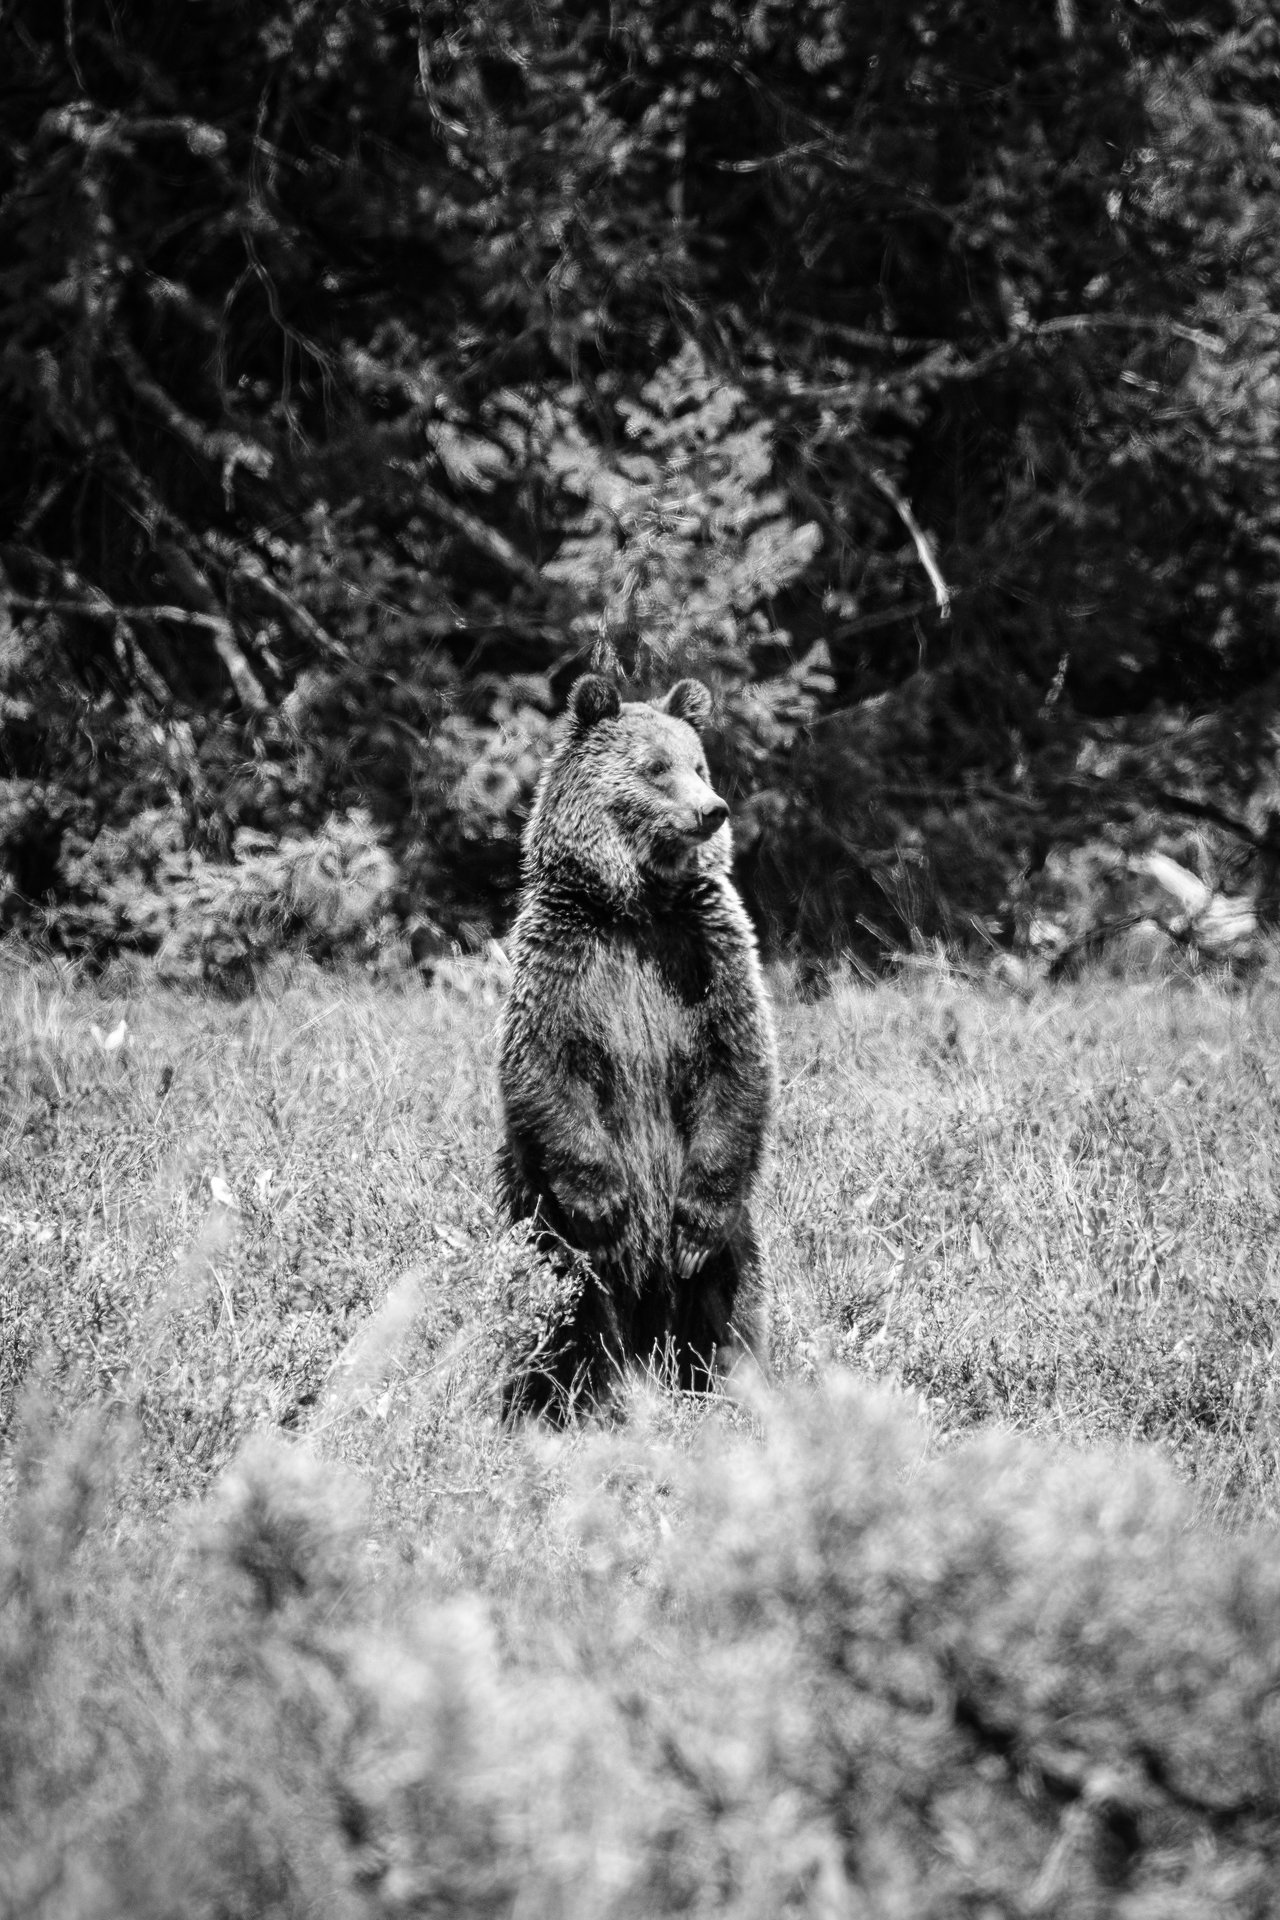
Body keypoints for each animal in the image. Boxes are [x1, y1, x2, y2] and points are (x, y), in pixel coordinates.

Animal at [496, 673, 777, 1418]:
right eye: (655, 767)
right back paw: (581, 1399)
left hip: (735, 1240)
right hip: (542, 1226)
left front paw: (693, 1226)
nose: (713, 810)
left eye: (700, 765)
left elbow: (739, 1062)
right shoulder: (566, 962)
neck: (635, 908)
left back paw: (728, 1384)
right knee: (572, 1309)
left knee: (730, 1294)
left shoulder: (707, 952)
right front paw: (606, 1205)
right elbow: (544, 1068)